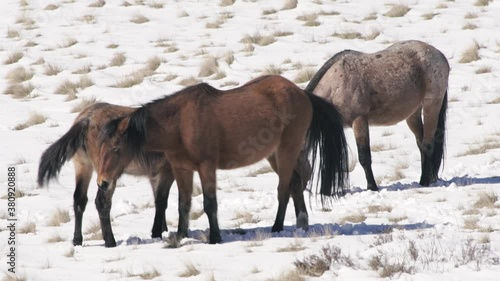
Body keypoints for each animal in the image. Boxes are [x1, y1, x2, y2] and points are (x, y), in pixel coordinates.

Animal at [37, 103, 175, 247]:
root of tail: (86, 119)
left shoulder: (154, 175)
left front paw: (163, 229)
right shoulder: (166, 172)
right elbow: (161, 202)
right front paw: (157, 233)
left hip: (83, 166)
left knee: (79, 200)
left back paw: (77, 240)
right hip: (106, 176)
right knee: (102, 202)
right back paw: (110, 241)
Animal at [96, 74, 348, 243]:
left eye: (116, 148)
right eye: (100, 149)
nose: (103, 182)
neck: (180, 124)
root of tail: (303, 94)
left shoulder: (206, 167)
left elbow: (210, 203)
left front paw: (215, 238)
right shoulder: (181, 169)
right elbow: (183, 204)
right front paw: (181, 235)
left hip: (287, 150)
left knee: (284, 189)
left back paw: (277, 227)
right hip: (274, 155)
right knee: (295, 183)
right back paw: (301, 223)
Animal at [304, 40, 450, 190]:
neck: (336, 86)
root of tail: (439, 54)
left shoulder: (359, 121)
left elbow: (364, 157)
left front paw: (372, 186)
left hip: (431, 105)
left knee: (428, 145)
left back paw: (425, 181)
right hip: (413, 113)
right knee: (421, 144)